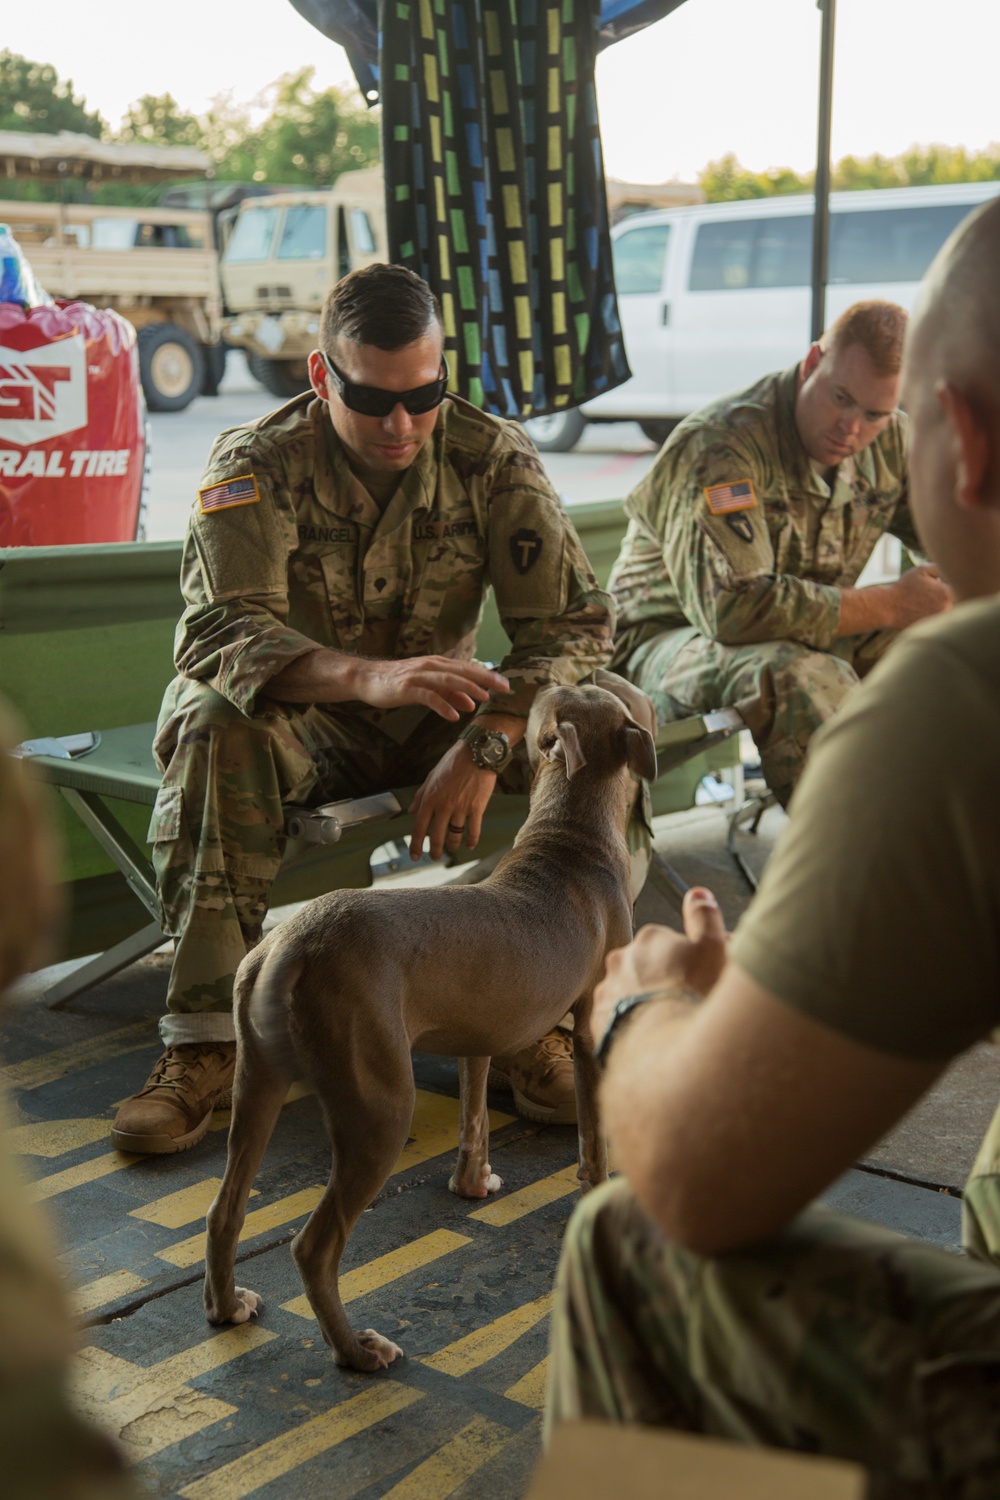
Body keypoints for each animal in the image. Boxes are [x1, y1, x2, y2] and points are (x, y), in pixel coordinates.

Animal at [202, 675, 656, 1374]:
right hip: (379, 1109)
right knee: (314, 1247)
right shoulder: (587, 1034)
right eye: (570, 694)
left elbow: (474, 1117)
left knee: (224, 1211)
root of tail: (292, 942)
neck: (568, 834)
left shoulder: (479, 1034)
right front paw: (596, 1193)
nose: (542, 675)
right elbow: (593, 1141)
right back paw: (355, 1350)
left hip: (257, 1085)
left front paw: (472, 1184)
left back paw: (226, 1307)